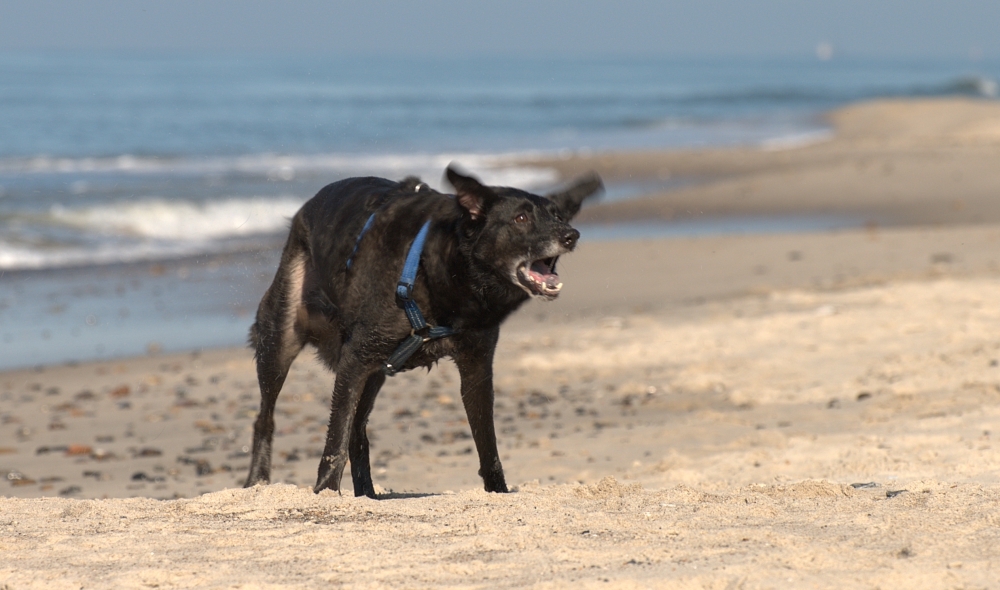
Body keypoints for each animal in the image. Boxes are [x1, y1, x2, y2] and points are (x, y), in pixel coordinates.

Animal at [242, 164, 600, 498]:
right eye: (521, 218)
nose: (571, 235)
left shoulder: (476, 366)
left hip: (375, 372)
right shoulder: (356, 358)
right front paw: (326, 492)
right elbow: (335, 441)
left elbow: (488, 446)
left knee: (358, 430)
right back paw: (257, 481)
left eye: (556, 215)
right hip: (281, 341)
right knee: (267, 417)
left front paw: (498, 491)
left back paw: (367, 493)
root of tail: (306, 208)